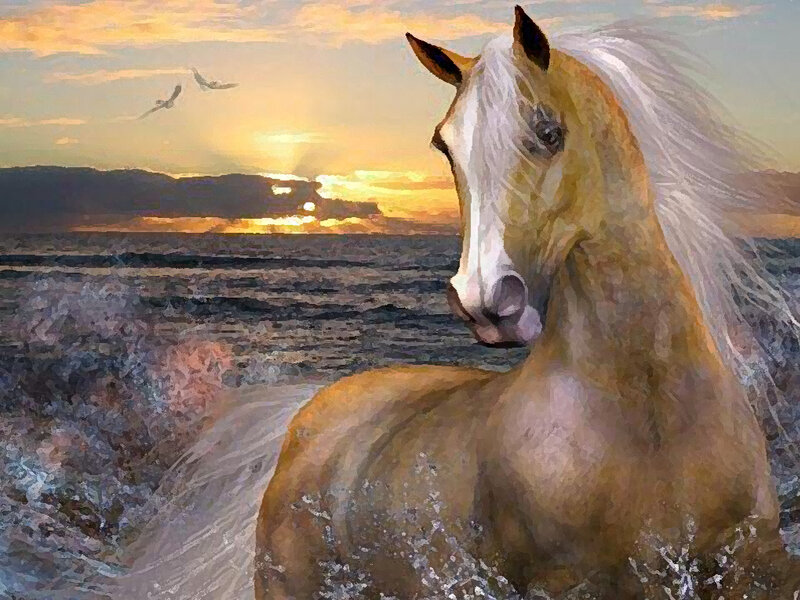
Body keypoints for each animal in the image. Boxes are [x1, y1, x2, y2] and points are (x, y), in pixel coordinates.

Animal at [255, 7, 800, 598]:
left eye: (548, 132)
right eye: (444, 146)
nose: (484, 300)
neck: (649, 416)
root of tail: (304, 420)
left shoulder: (752, 562)